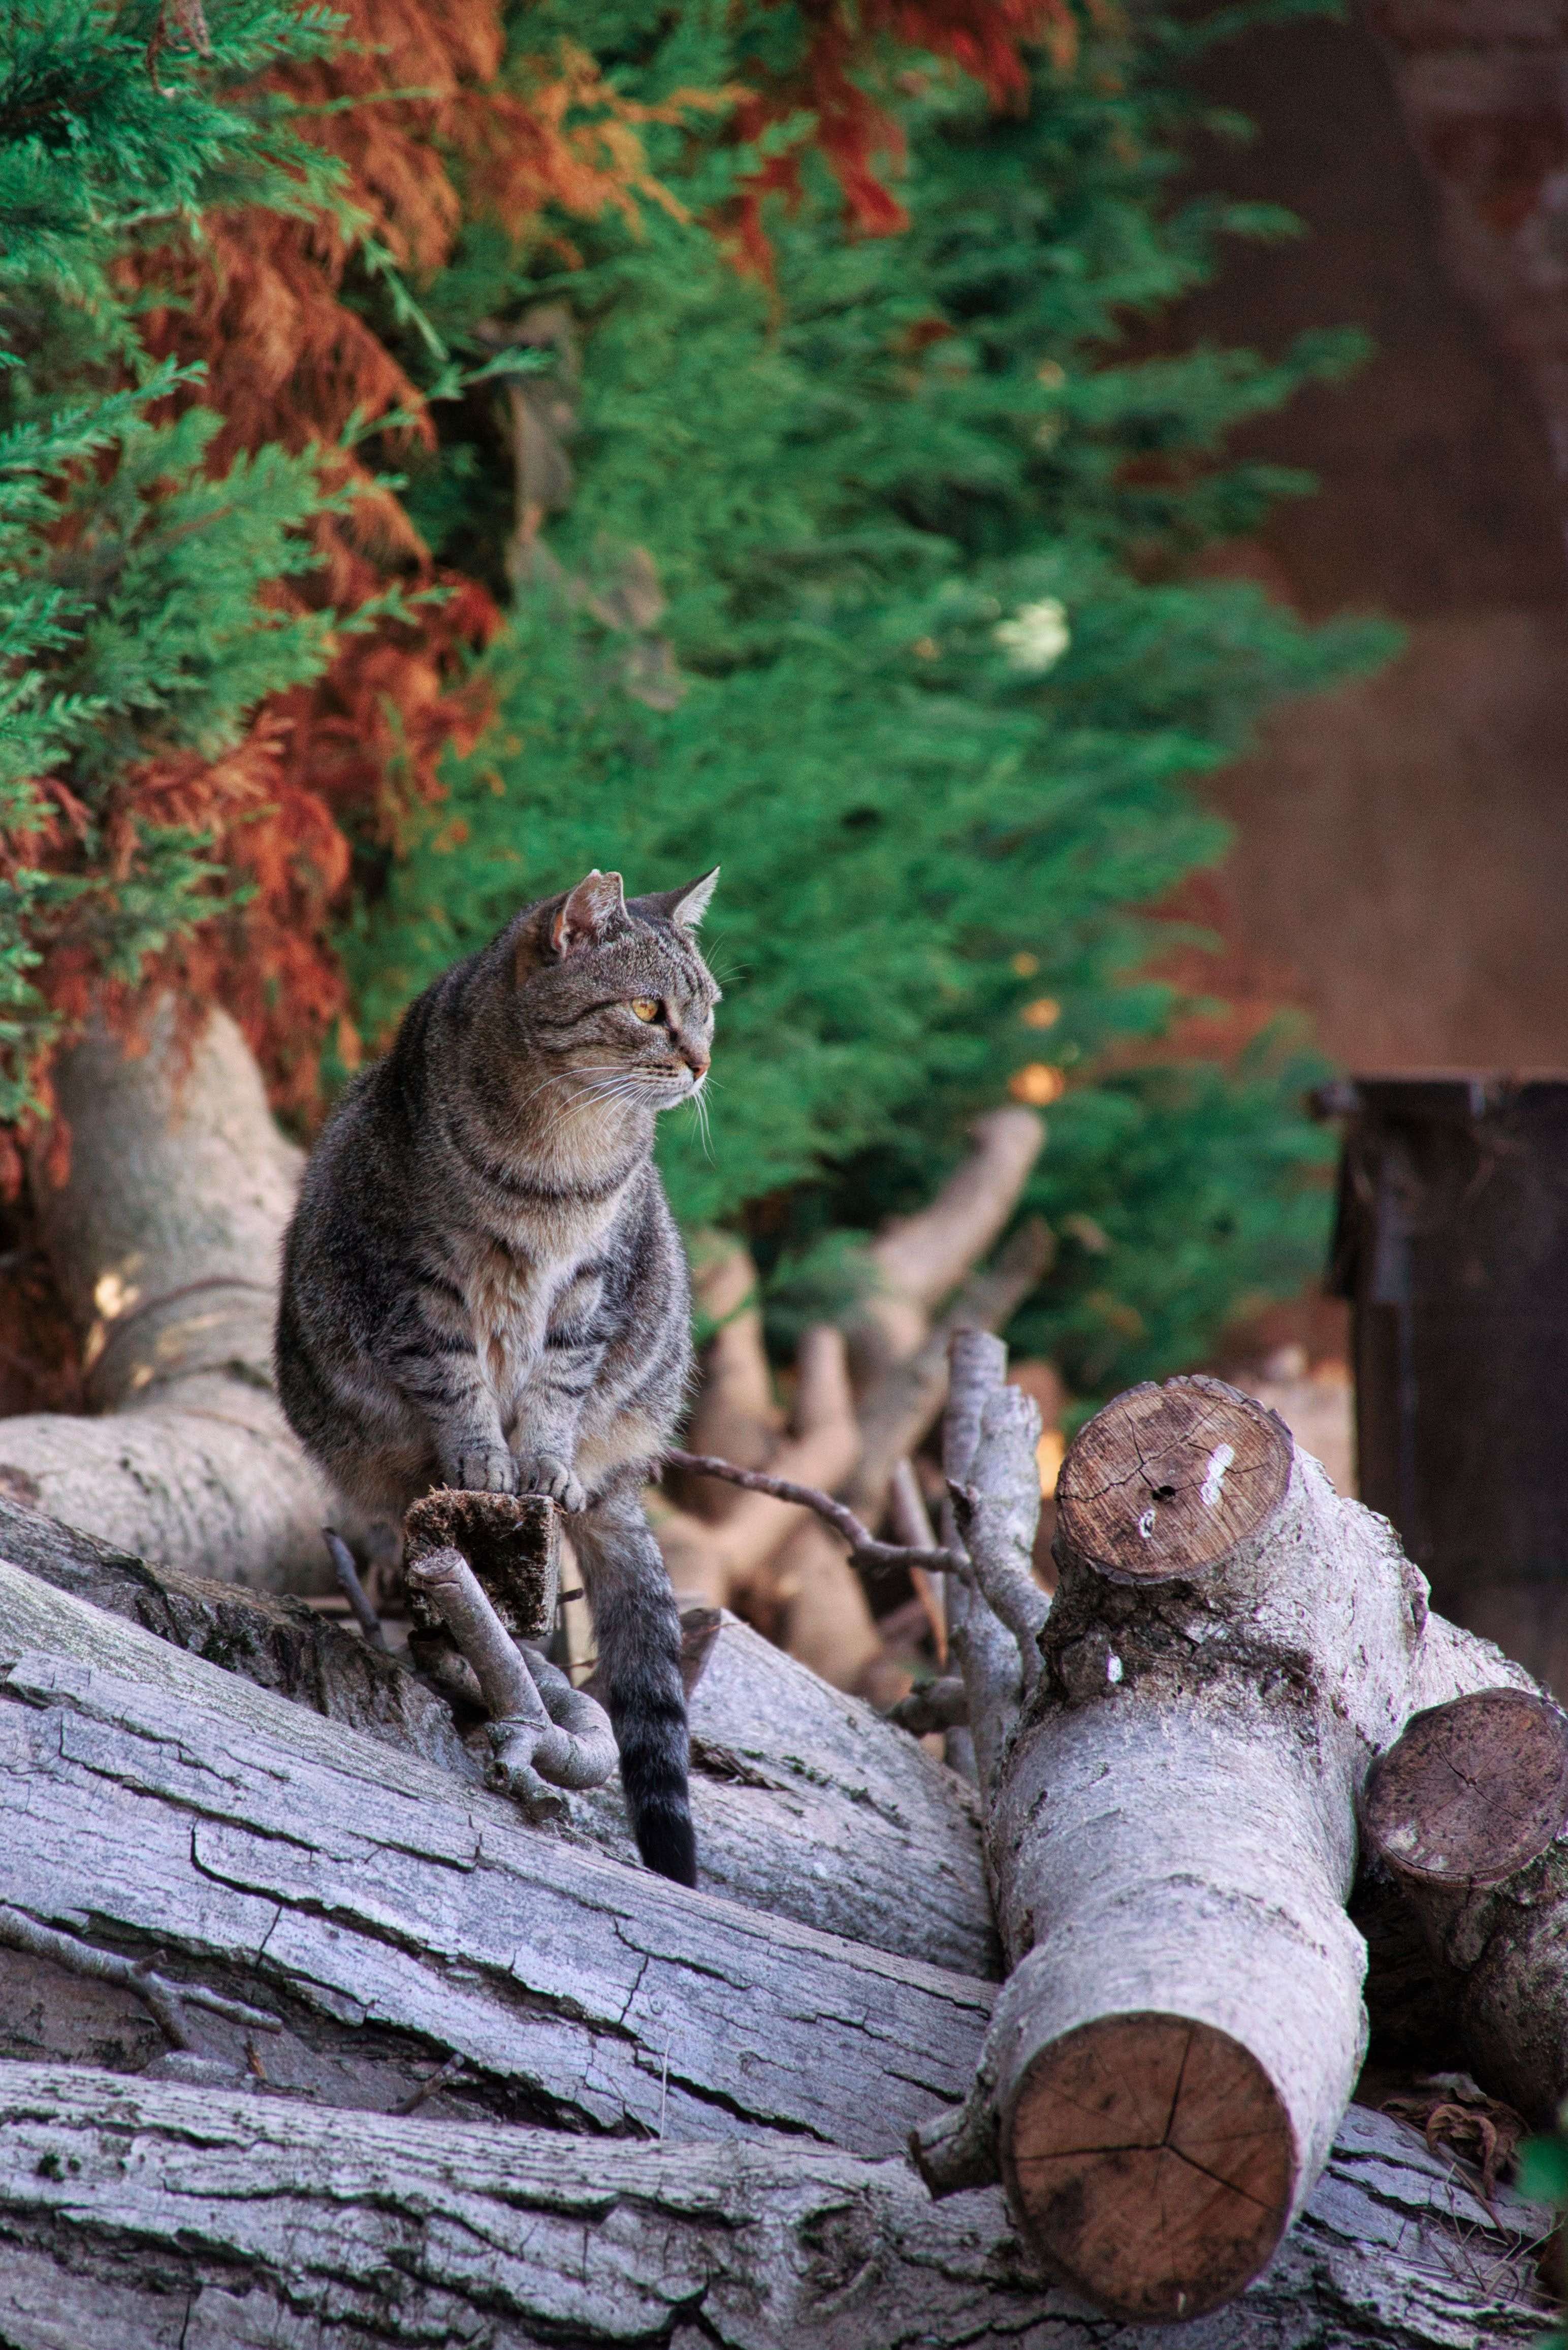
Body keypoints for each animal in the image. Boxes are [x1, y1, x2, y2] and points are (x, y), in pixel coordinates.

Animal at [278, 874, 719, 1880]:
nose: (701, 1061)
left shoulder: (588, 1287)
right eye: (649, 1011)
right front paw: (483, 1457)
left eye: (708, 1007)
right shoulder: (417, 1282)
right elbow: (456, 1383)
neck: (561, 1154)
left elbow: (555, 1386)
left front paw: (538, 1463)